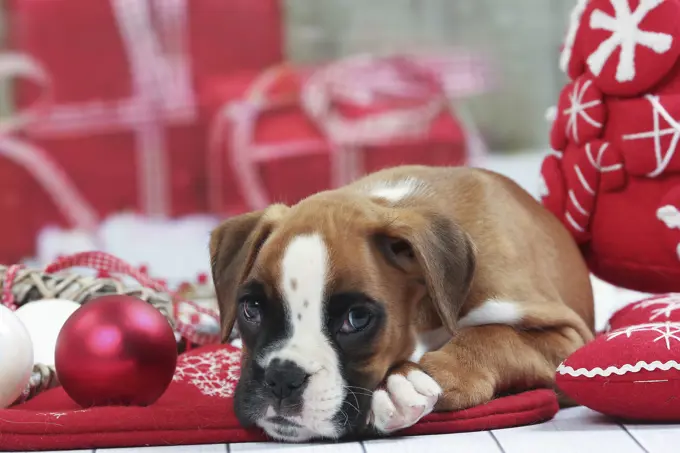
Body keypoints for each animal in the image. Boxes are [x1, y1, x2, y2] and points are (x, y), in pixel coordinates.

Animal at [210, 164, 592, 440]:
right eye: (251, 309)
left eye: (357, 318)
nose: (282, 378)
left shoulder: (568, 337)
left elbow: (495, 336)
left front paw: (411, 379)